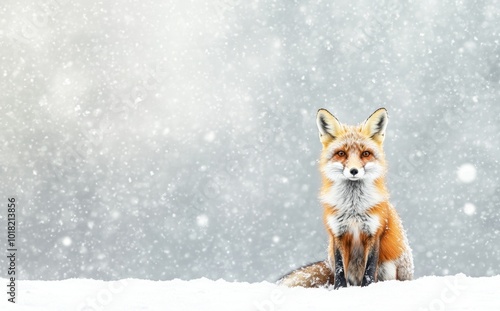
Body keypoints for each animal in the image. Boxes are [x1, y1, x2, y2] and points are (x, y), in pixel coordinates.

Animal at [280, 108, 412, 288]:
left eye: (365, 154)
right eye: (341, 153)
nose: (354, 171)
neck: (353, 208)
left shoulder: (374, 232)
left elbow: (369, 270)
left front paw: (367, 288)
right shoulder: (337, 233)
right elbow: (339, 268)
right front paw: (339, 289)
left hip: (389, 267)